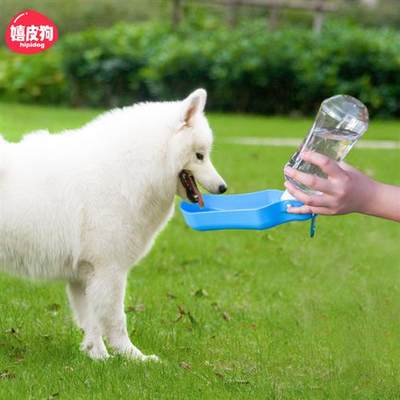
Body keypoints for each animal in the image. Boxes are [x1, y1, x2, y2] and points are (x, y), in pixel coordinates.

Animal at [0, 89, 225, 360]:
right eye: (200, 156)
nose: (223, 187)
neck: (129, 171)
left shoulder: (85, 275)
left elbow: (91, 322)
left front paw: (98, 356)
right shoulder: (109, 271)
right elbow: (116, 320)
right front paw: (132, 357)